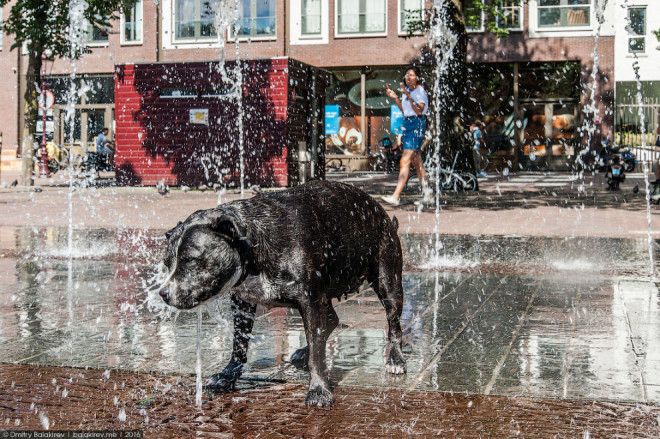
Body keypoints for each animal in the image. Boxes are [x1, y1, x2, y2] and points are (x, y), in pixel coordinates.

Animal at [160, 180, 408, 408]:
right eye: (166, 262)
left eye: (191, 260)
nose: (163, 293)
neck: (254, 244)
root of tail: (385, 217)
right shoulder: (243, 301)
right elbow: (239, 343)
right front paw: (227, 375)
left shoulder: (309, 301)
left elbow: (317, 354)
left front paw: (319, 389)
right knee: (330, 320)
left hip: (388, 281)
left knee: (393, 324)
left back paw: (395, 358)